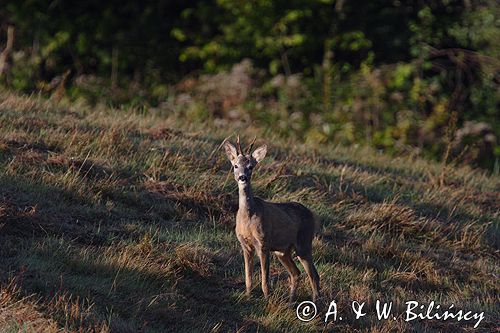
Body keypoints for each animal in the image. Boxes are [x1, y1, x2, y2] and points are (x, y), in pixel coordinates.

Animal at [223, 136, 320, 302]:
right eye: (235, 165)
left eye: (250, 166)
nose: (242, 177)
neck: (248, 218)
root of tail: (310, 213)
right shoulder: (245, 244)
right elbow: (248, 276)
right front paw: (248, 295)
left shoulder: (263, 243)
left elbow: (265, 278)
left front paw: (267, 298)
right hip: (283, 251)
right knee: (296, 273)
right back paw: (290, 301)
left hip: (304, 242)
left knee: (313, 274)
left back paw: (315, 302)